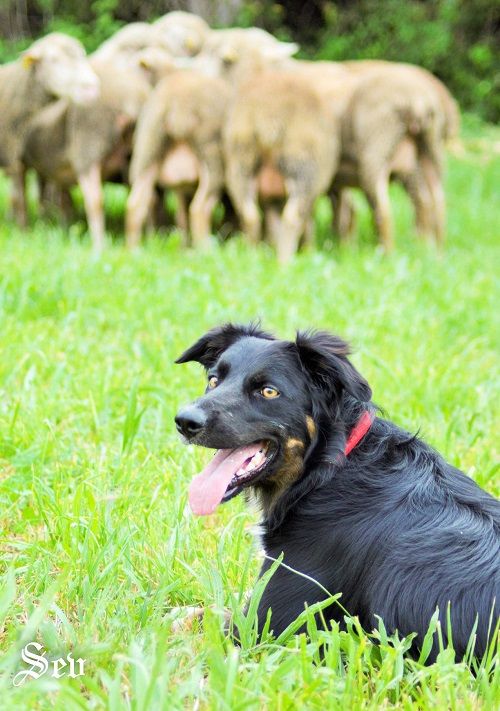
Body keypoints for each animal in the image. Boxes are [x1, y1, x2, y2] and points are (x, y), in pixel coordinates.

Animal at [0, 32, 100, 227]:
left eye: (83, 55)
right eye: (54, 60)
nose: (92, 88)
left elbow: (39, 186)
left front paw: (42, 219)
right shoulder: (13, 153)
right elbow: (19, 196)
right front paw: (23, 228)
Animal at [125, 68, 230, 249]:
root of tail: (173, 99)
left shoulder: (182, 188)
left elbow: (181, 215)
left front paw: (184, 245)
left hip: (148, 147)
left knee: (135, 204)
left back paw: (133, 249)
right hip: (210, 154)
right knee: (200, 208)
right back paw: (206, 248)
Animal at [176, 324, 500, 660]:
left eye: (268, 391)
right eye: (213, 381)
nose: (184, 421)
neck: (324, 471)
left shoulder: (267, 627)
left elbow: (198, 618)